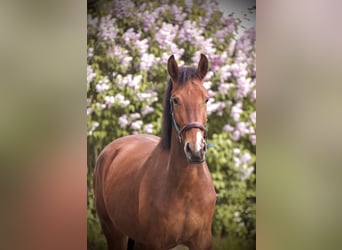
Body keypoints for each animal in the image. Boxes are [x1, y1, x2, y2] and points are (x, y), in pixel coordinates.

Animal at [93, 53, 216, 249]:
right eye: (175, 100)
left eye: (206, 99)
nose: (195, 150)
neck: (186, 189)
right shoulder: (154, 244)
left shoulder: (202, 242)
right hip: (114, 232)